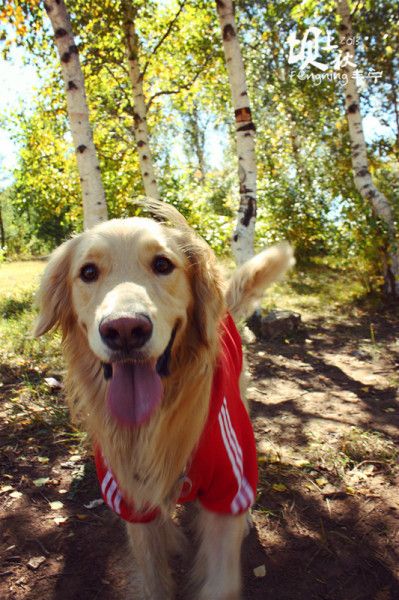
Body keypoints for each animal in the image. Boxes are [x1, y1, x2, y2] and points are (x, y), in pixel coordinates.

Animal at [34, 203, 294, 600]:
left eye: (162, 264)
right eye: (88, 272)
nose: (125, 329)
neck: (157, 422)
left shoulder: (226, 492)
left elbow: (220, 579)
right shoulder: (134, 500)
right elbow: (153, 575)